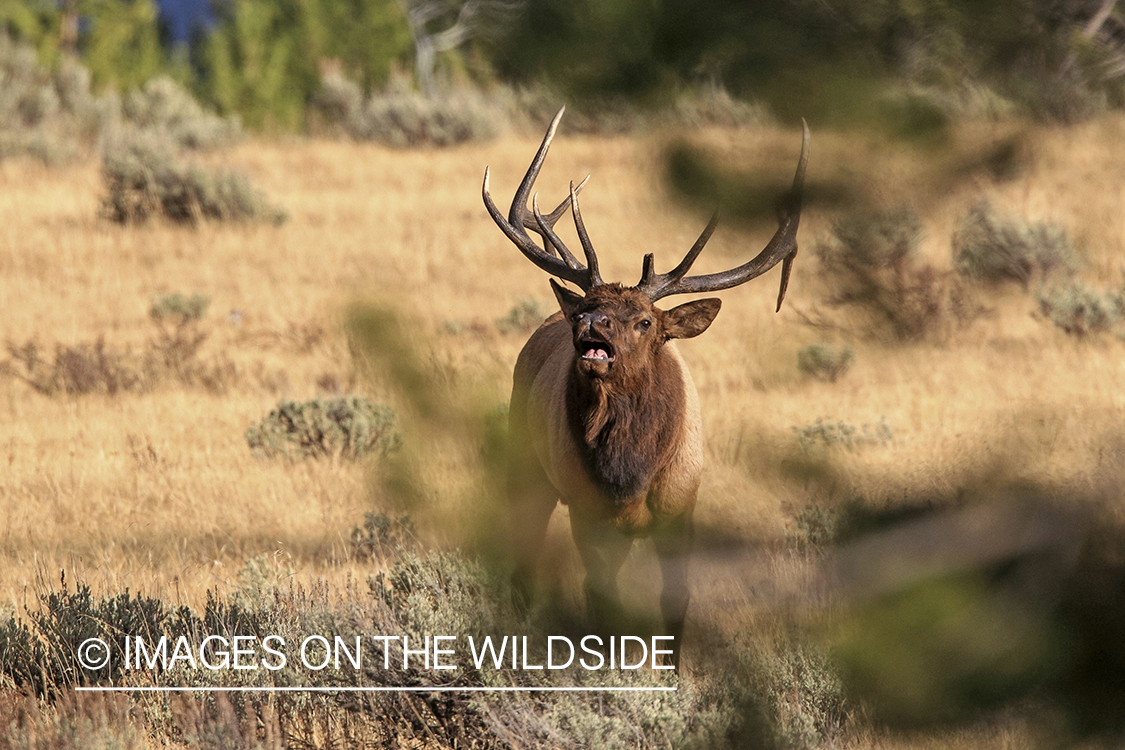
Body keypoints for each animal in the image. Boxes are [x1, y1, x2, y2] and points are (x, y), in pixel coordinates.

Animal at [483, 108, 810, 665]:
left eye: (643, 322)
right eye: (590, 304)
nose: (588, 321)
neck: (628, 474)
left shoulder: (682, 503)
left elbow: (675, 601)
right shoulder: (588, 512)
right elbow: (600, 600)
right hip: (526, 465)